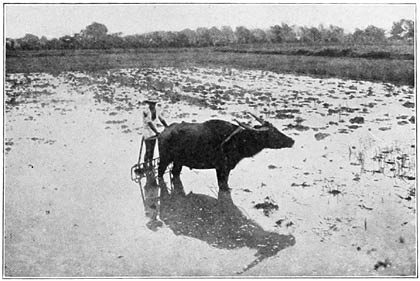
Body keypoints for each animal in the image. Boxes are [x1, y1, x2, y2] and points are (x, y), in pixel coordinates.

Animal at [158, 112, 296, 190]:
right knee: (160, 173)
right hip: (164, 159)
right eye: (272, 134)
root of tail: (164, 131)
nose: (292, 141)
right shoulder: (221, 168)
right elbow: (222, 186)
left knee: (175, 173)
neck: (236, 141)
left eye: (276, 129)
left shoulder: (227, 168)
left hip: (178, 162)